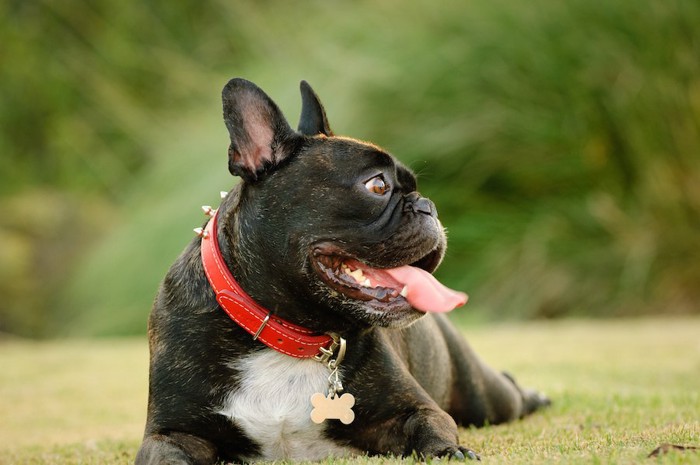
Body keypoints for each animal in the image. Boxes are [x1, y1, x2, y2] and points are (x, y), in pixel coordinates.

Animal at [137, 78, 548, 462]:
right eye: (378, 185)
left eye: (414, 186)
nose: (428, 205)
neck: (288, 334)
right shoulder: (171, 433)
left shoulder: (414, 409)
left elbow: (432, 424)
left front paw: (449, 451)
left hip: (483, 395)